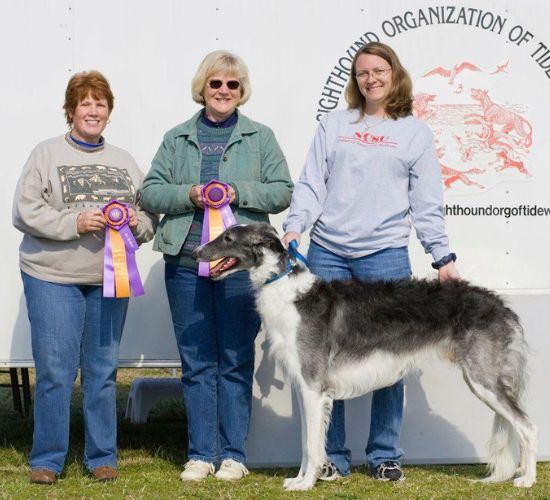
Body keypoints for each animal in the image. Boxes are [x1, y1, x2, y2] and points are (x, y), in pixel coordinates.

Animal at [194, 225, 540, 490]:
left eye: (227, 237)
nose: (195, 253)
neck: (287, 293)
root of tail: (502, 306)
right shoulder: (306, 388)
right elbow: (308, 442)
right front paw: (300, 479)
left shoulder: (312, 387)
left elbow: (311, 444)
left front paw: (305, 484)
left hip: (485, 380)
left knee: (527, 426)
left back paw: (526, 480)